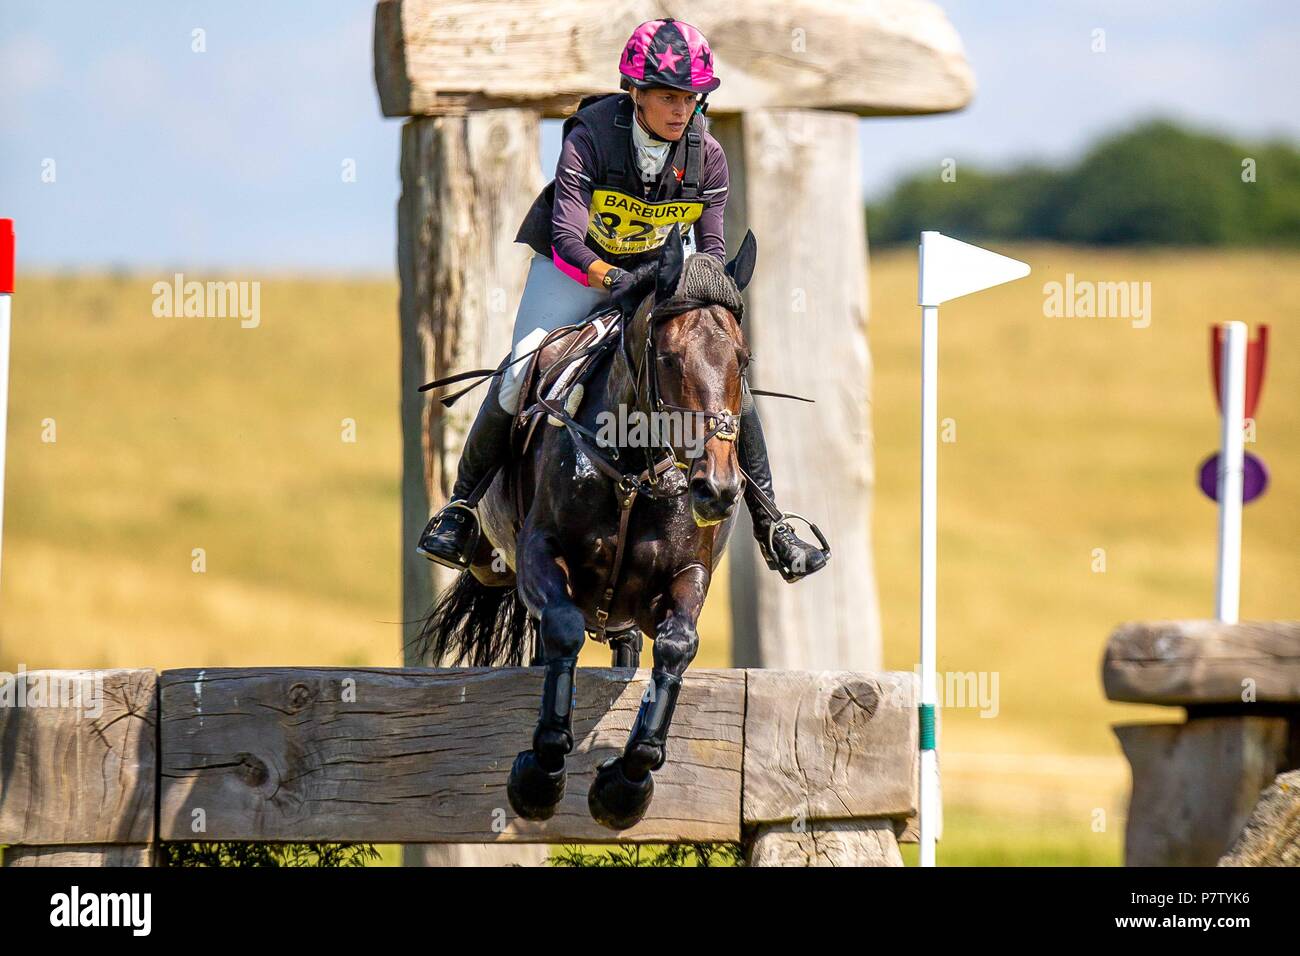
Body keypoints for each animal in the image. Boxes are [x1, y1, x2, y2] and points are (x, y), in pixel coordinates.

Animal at [416, 223, 759, 832]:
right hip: (492, 556)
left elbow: (677, 645)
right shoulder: (539, 553)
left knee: (627, 645)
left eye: (741, 362)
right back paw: (450, 528)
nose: (717, 490)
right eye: (667, 358)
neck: (635, 470)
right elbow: (564, 630)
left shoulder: (688, 573)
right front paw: (541, 772)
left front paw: (626, 784)